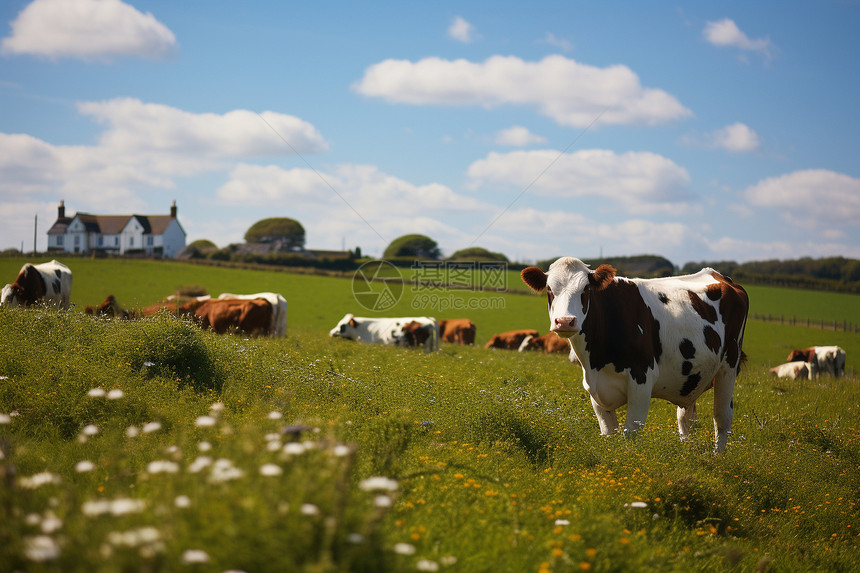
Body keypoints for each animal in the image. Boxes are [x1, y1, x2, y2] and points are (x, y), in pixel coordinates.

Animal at [520, 256, 748, 454]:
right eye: (550, 289)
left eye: (585, 289)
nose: (565, 321)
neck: (596, 361)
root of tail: (720, 276)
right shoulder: (595, 390)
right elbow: (608, 433)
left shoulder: (641, 381)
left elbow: (630, 434)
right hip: (691, 378)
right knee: (686, 420)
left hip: (729, 366)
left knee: (722, 417)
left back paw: (717, 458)